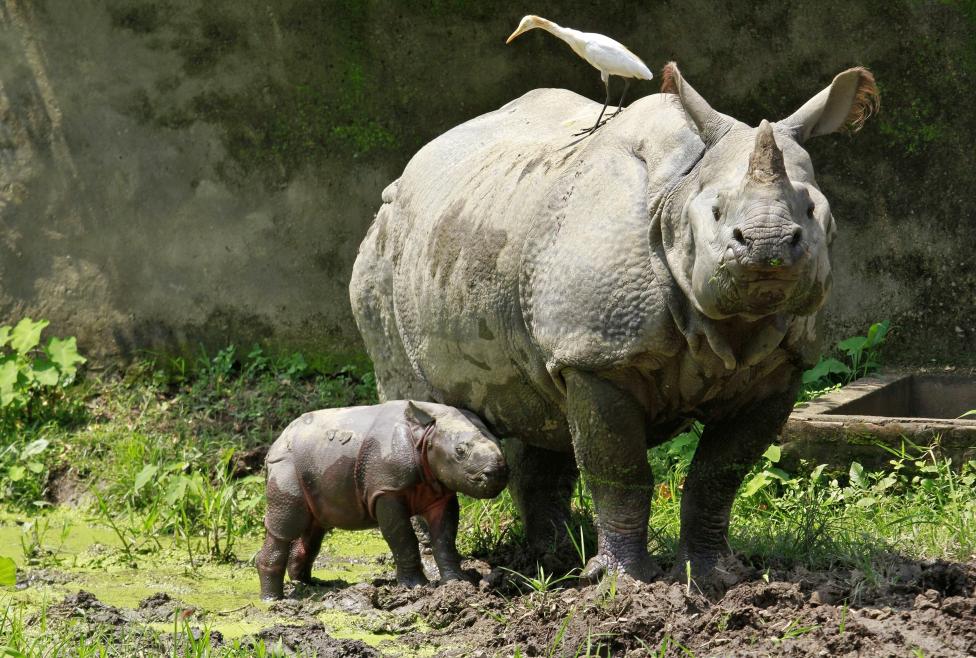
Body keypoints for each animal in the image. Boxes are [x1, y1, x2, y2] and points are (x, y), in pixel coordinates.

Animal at [255, 398, 508, 596]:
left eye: (500, 442)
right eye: (460, 451)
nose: (497, 473)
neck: (425, 433)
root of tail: (277, 440)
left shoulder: (441, 492)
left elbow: (445, 537)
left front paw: (458, 582)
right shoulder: (387, 489)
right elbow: (402, 537)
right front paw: (416, 587)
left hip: (313, 460)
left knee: (313, 529)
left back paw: (311, 585)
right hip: (285, 464)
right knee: (285, 526)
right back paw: (274, 601)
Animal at [348, 62, 876, 584]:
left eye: (812, 210)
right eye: (716, 212)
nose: (768, 245)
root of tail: (410, 170)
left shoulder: (781, 370)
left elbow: (718, 475)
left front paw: (715, 577)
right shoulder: (598, 356)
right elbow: (619, 468)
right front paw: (624, 583)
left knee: (543, 413)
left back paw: (552, 559)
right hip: (382, 251)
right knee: (414, 395)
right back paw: (446, 575)